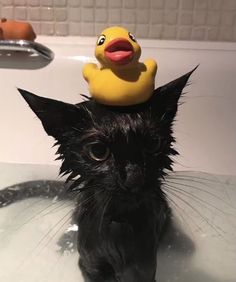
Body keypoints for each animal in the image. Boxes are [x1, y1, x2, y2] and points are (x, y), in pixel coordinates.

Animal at [0, 69, 195, 282]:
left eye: (152, 145)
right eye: (98, 151)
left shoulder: (142, 270)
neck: (118, 227)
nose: (134, 177)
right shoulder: (89, 266)